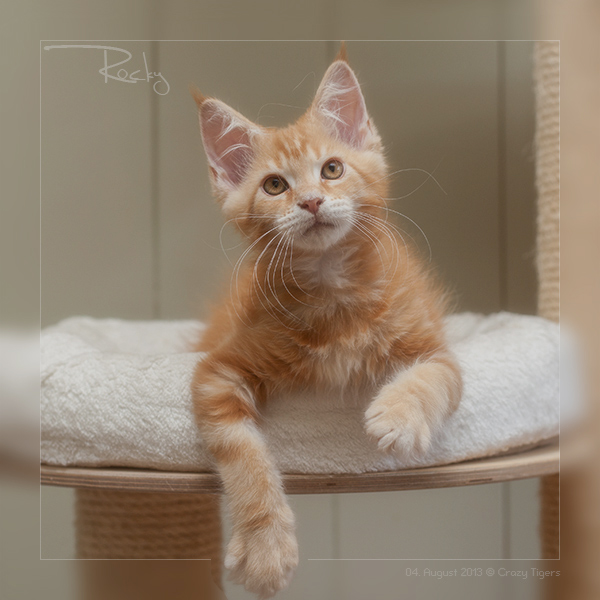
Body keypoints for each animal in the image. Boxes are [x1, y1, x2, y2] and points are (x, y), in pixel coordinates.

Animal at [191, 44, 462, 597]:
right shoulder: (215, 372)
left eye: (332, 169)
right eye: (274, 185)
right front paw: (266, 547)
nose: (311, 201)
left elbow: (433, 377)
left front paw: (398, 415)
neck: (332, 287)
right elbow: (243, 454)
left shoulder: (437, 351)